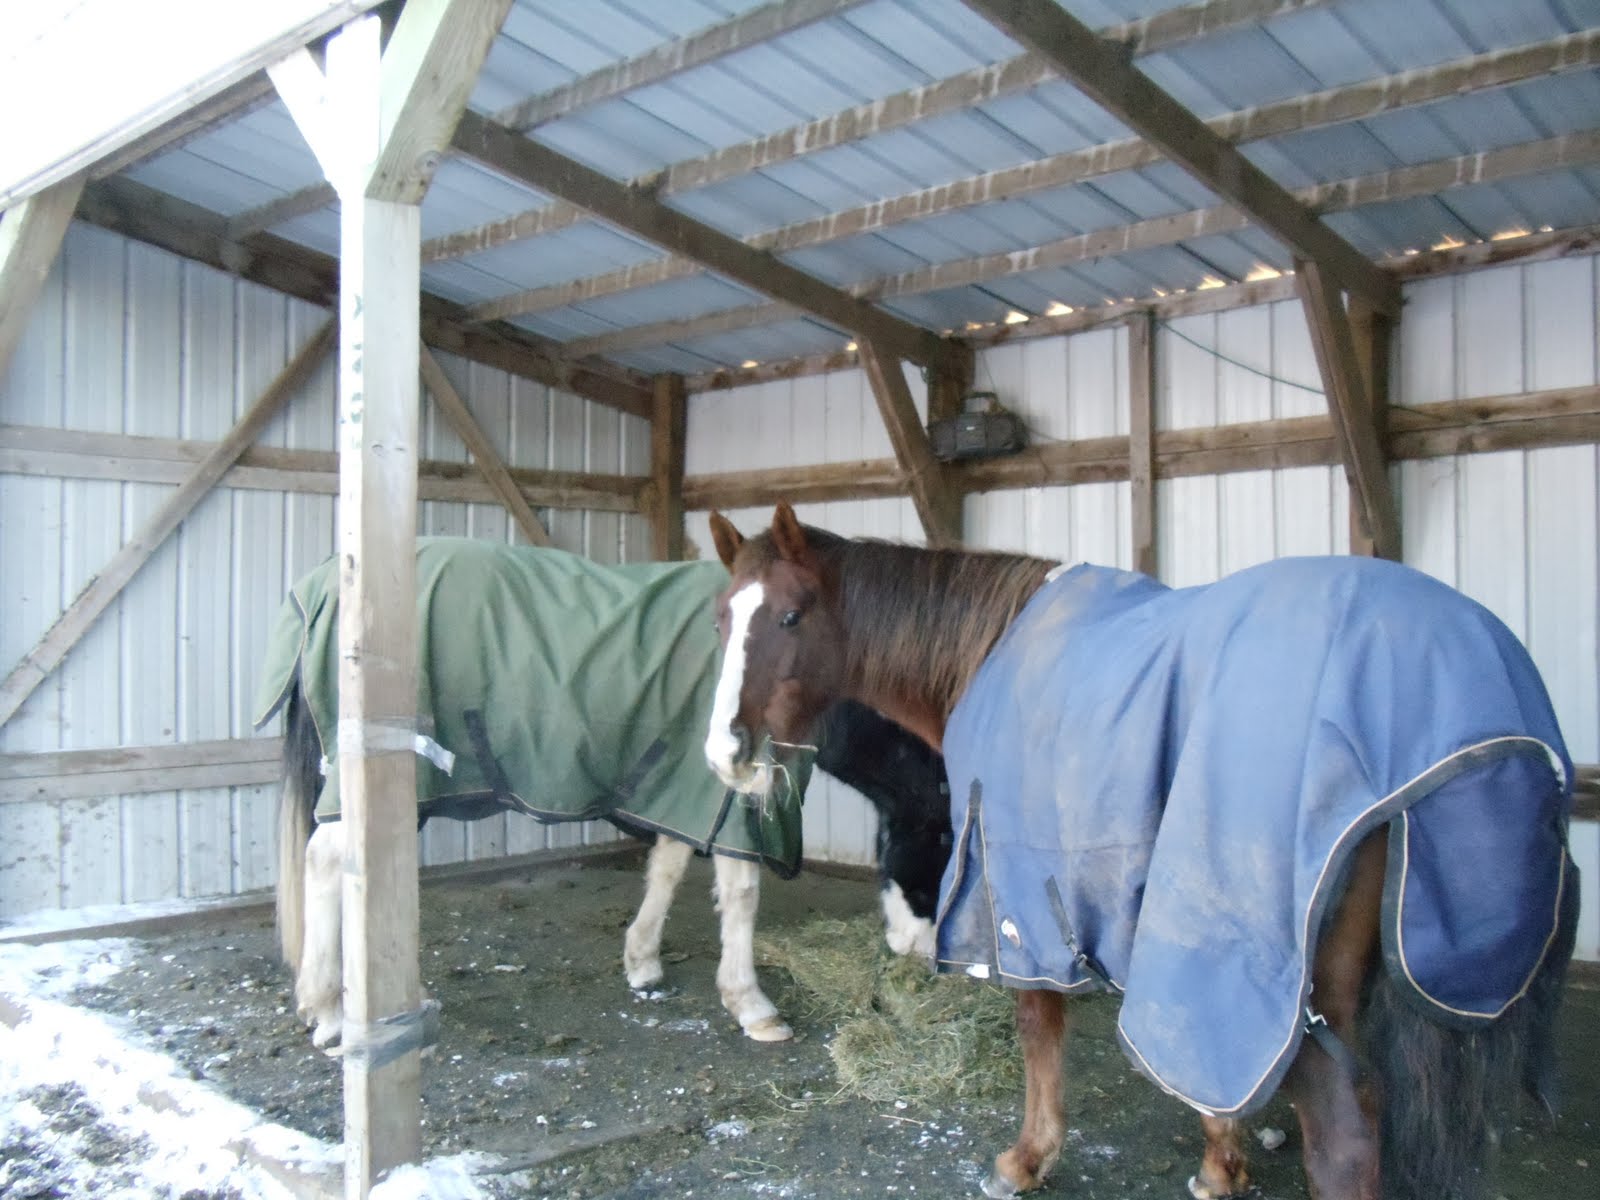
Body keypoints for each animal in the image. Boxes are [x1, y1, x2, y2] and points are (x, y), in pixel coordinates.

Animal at [258, 537, 951, 1051]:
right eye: (945, 834)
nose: (925, 954)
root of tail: (326, 582)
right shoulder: (734, 792)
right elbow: (741, 892)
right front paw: (752, 1005)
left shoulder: (686, 786)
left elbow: (668, 864)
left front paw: (642, 961)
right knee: (325, 860)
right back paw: (328, 1010)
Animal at [702, 503, 1579, 1200]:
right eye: (721, 618)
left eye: (790, 616)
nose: (725, 752)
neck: (989, 649)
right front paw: (1222, 1164)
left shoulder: (1025, 892)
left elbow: (1040, 1028)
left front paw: (1028, 1159)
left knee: (1346, 1138)